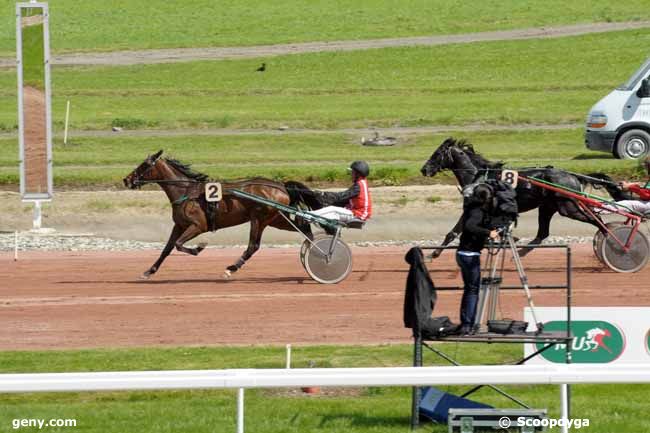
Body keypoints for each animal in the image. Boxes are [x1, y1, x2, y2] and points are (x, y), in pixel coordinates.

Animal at [123, 150, 320, 278]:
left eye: (144, 165)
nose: (127, 179)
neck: (186, 191)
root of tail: (281, 186)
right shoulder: (179, 225)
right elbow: (167, 248)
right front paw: (149, 271)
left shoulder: (198, 225)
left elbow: (179, 245)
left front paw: (199, 248)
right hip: (276, 219)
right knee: (304, 228)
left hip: (259, 219)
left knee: (253, 246)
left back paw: (231, 268)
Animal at [418, 137, 624, 255]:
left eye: (436, 153)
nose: (424, 169)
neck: (478, 176)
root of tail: (572, 176)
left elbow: (454, 232)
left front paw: (433, 254)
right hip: (548, 207)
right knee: (542, 234)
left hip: (568, 206)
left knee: (597, 219)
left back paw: (615, 243)